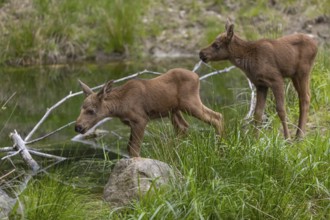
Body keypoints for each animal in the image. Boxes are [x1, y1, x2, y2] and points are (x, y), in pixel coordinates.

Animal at [75, 68, 223, 157]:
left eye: (91, 111)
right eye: (81, 108)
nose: (78, 127)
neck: (120, 106)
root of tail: (197, 76)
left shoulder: (141, 119)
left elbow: (134, 148)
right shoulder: (132, 123)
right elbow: (129, 147)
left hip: (190, 103)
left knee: (217, 117)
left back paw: (220, 147)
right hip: (174, 111)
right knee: (184, 127)